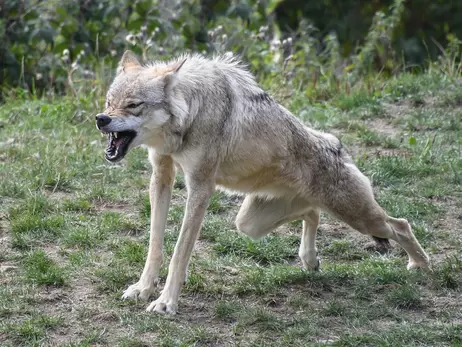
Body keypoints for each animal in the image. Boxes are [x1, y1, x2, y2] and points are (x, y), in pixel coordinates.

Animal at [95, 51, 432, 316]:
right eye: (109, 102)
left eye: (134, 105)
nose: (101, 119)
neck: (191, 112)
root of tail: (336, 144)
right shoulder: (161, 175)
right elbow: (155, 244)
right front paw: (143, 288)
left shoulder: (201, 187)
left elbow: (179, 251)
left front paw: (166, 303)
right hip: (250, 223)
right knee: (312, 213)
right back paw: (310, 259)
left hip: (360, 218)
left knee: (401, 225)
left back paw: (421, 265)